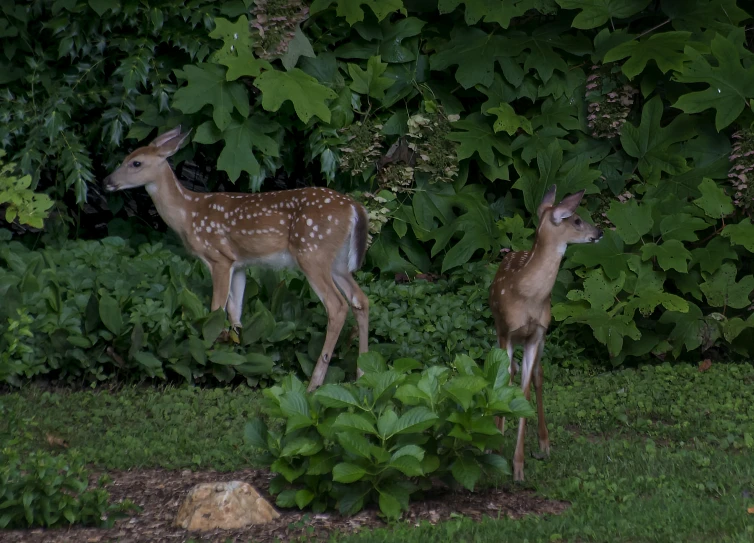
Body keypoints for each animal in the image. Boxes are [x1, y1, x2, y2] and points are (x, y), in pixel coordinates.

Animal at [101, 126, 372, 394]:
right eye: (125, 158)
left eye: (136, 162)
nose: (107, 182)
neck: (188, 214)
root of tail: (355, 208)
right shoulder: (240, 264)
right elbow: (235, 312)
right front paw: (237, 359)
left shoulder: (219, 257)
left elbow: (215, 309)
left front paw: (212, 358)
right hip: (337, 262)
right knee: (360, 300)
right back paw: (362, 373)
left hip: (312, 253)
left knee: (337, 305)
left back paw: (315, 384)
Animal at [490, 186, 604, 480]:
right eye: (576, 219)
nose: (599, 232)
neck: (526, 295)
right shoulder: (507, 332)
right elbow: (505, 382)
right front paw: (495, 447)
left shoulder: (537, 334)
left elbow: (526, 391)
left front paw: (518, 466)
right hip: (499, 330)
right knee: (512, 372)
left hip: (543, 337)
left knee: (537, 376)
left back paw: (544, 442)